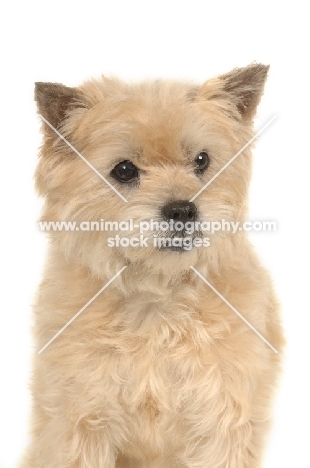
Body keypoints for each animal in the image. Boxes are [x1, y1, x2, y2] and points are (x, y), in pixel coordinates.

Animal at [21, 63, 284, 468]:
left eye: (201, 160)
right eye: (125, 170)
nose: (183, 210)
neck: (156, 299)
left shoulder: (222, 422)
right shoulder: (80, 422)